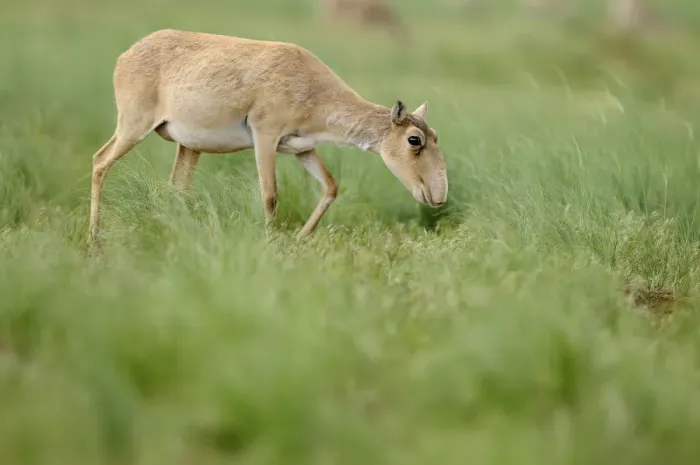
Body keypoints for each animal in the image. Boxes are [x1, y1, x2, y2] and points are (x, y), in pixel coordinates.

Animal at [88, 29, 448, 244]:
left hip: (188, 147)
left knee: (176, 187)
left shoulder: (303, 149)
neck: (312, 86)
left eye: (435, 135)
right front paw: (271, 243)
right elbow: (270, 194)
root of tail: (126, 55)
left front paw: (300, 238)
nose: (438, 196)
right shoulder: (265, 136)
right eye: (414, 140)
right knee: (100, 161)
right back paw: (94, 238)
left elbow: (331, 187)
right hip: (133, 125)